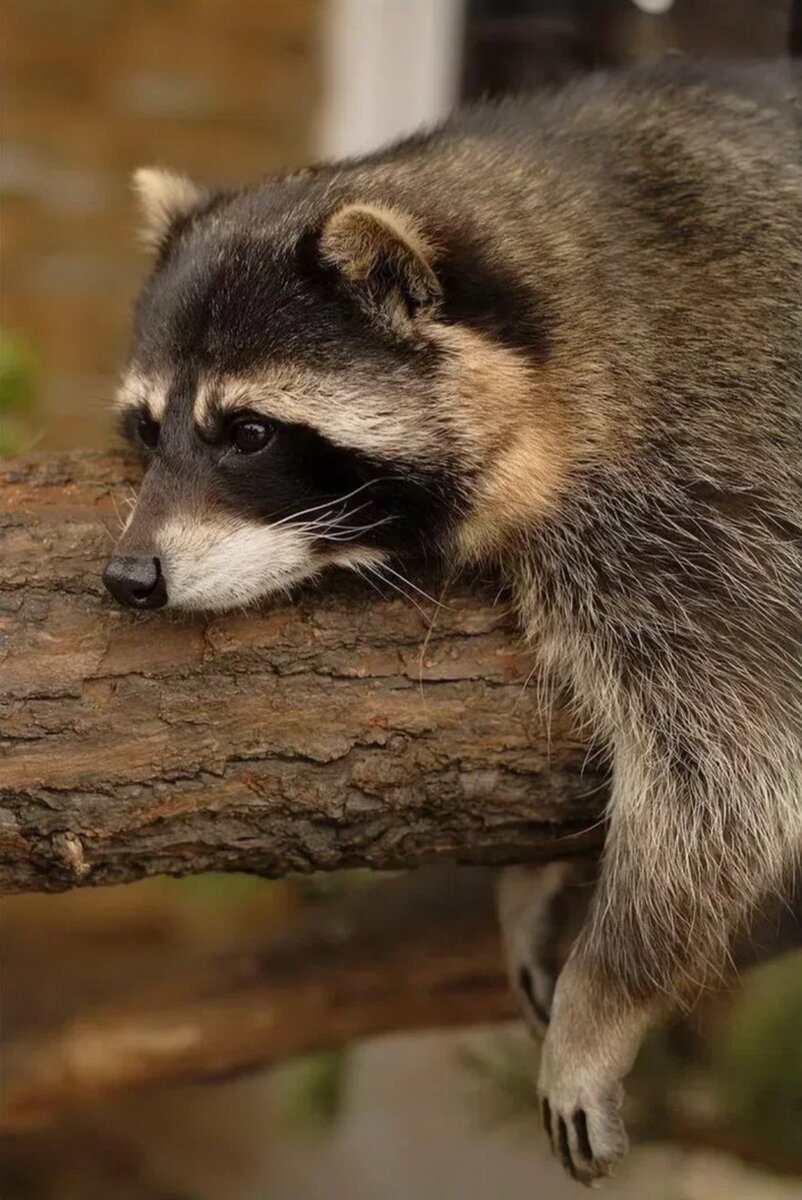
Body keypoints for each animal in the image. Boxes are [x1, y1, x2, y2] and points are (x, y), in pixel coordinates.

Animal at [106, 63, 802, 1180]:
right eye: (145, 429)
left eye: (247, 434)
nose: (128, 577)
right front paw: (534, 878)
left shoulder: (707, 482)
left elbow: (732, 779)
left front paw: (606, 998)